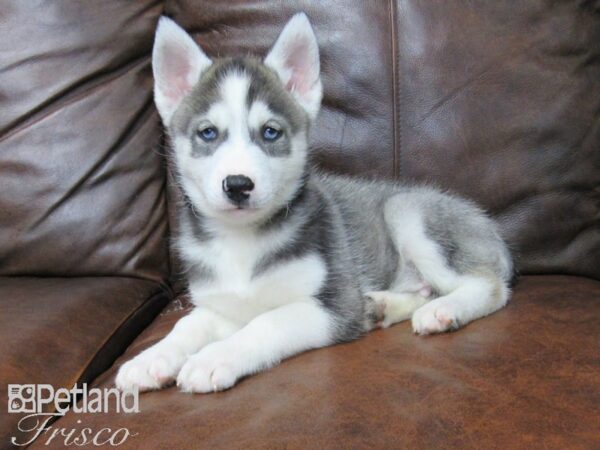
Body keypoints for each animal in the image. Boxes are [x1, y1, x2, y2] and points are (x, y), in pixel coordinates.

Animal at [115, 13, 512, 394]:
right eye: (208, 133)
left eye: (270, 132)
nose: (238, 185)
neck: (243, 242)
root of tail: (488, 224)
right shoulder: (222, 305)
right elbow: (186, 324)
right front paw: (150, 359)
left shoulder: (334, 307)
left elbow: (265, 322)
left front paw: (214, 359)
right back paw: (382, 306)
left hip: (408, 212)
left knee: (492, 287)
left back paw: (444, 309)